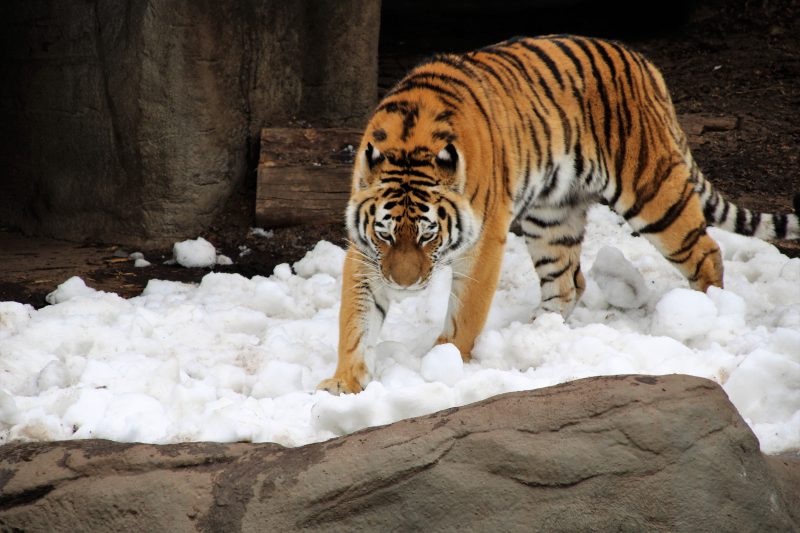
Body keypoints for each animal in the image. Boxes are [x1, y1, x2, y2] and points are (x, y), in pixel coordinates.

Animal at [316, 32, 796, 390]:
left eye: (428, 234)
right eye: (385, 234)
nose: (405, 285)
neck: (409, 140)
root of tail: (644, 63)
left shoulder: (483, 238)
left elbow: (466, 311)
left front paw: (443, 360)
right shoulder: (365, 251)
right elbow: (356, 319)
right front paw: (344, 383)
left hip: (652, 193)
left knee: (706, 254)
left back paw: (707, 312)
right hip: (551, 215)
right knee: (567, 282)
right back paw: (535, 335)